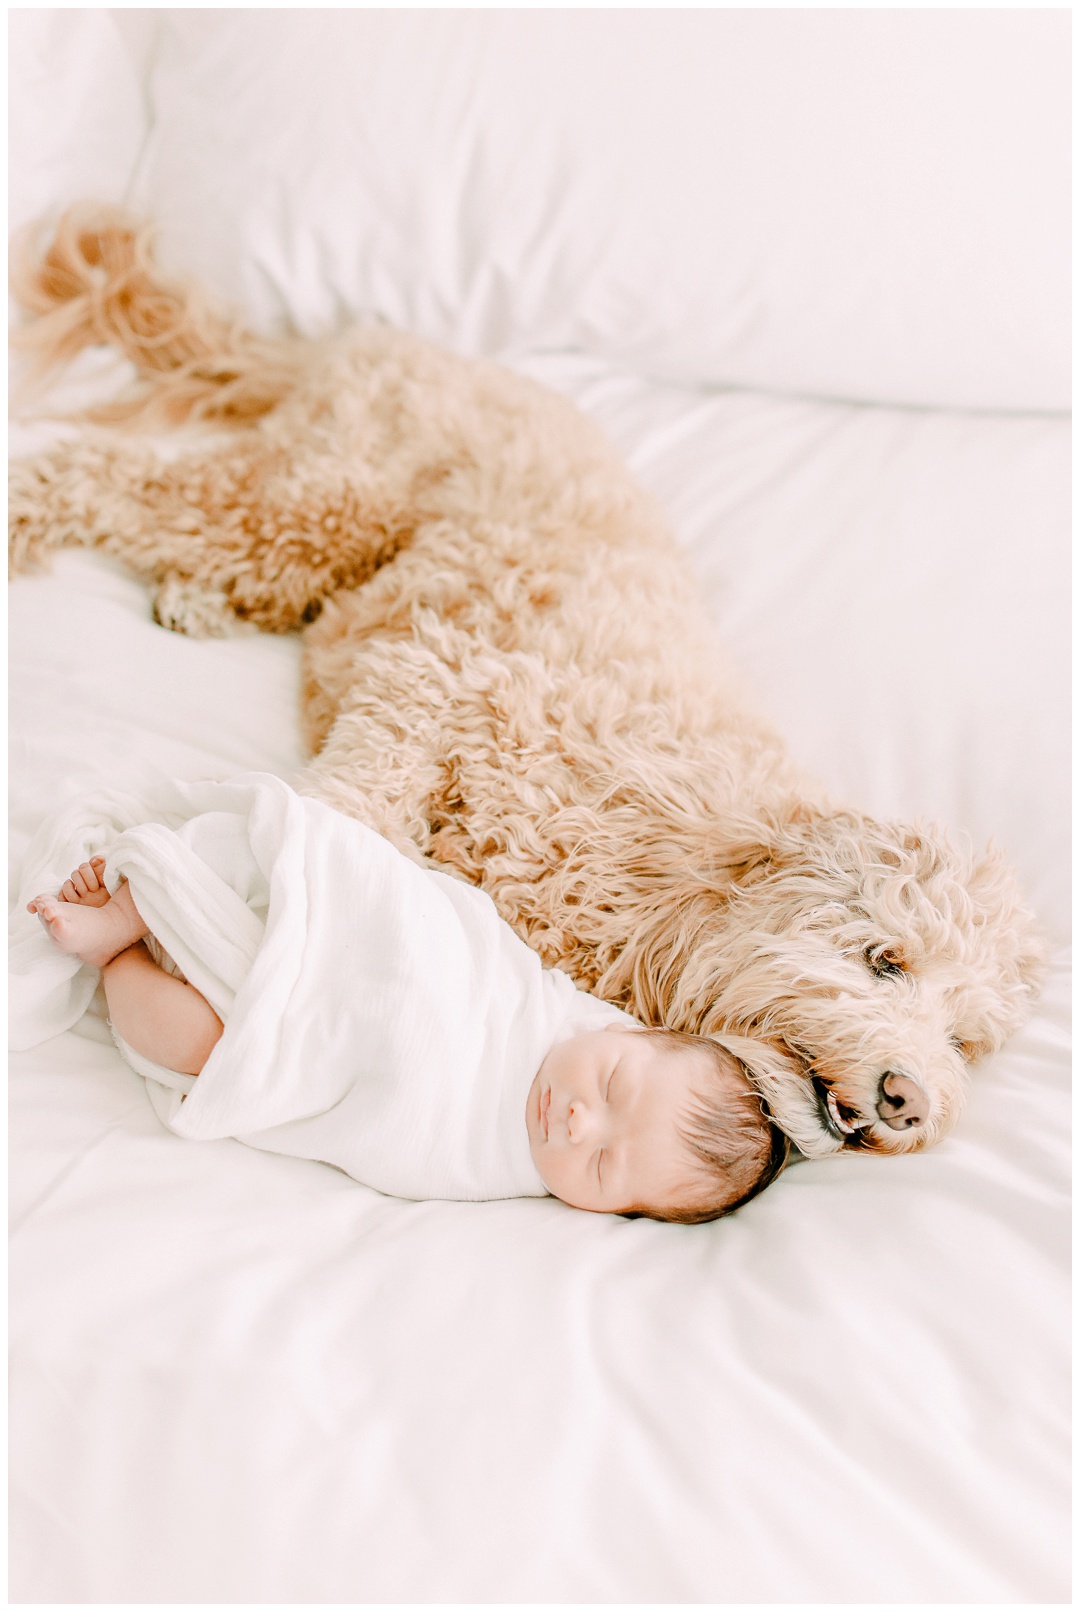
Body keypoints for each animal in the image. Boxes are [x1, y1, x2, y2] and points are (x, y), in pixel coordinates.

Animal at [4, 211, 1044, 1160]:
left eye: (964, 1040)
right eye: (883, 960)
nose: (911, 1099)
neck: (692, 856)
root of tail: (391, 340)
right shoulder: (441, 680)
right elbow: (352, 801)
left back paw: (200, 601)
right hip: (320, 501)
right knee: (107, 479)